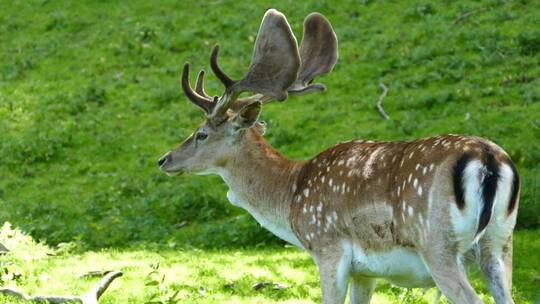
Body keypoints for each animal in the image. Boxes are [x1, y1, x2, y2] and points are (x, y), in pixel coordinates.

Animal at [158, 8, 520, 304]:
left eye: (201, 133)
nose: (164, 160)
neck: (290, 199)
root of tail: (488, 159)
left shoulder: (328, 249)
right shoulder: (366, 271)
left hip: (439, 246)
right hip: (499, 244)